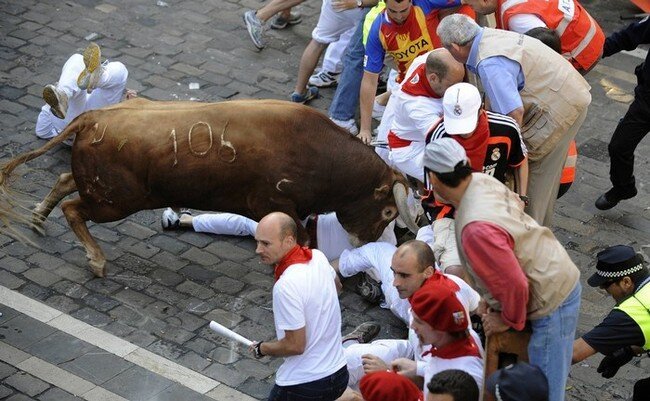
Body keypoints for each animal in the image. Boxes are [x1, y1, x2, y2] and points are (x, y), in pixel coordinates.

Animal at [0, 98, 416, 276]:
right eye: (388, 211)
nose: (366, 243)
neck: (319, 152)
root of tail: (91, 117)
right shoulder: (274, 204)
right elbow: (300, 237)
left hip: (100, 189)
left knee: (63, 181)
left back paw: (38, 217)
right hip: (114, 201)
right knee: (73, 208)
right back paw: (96, 260)